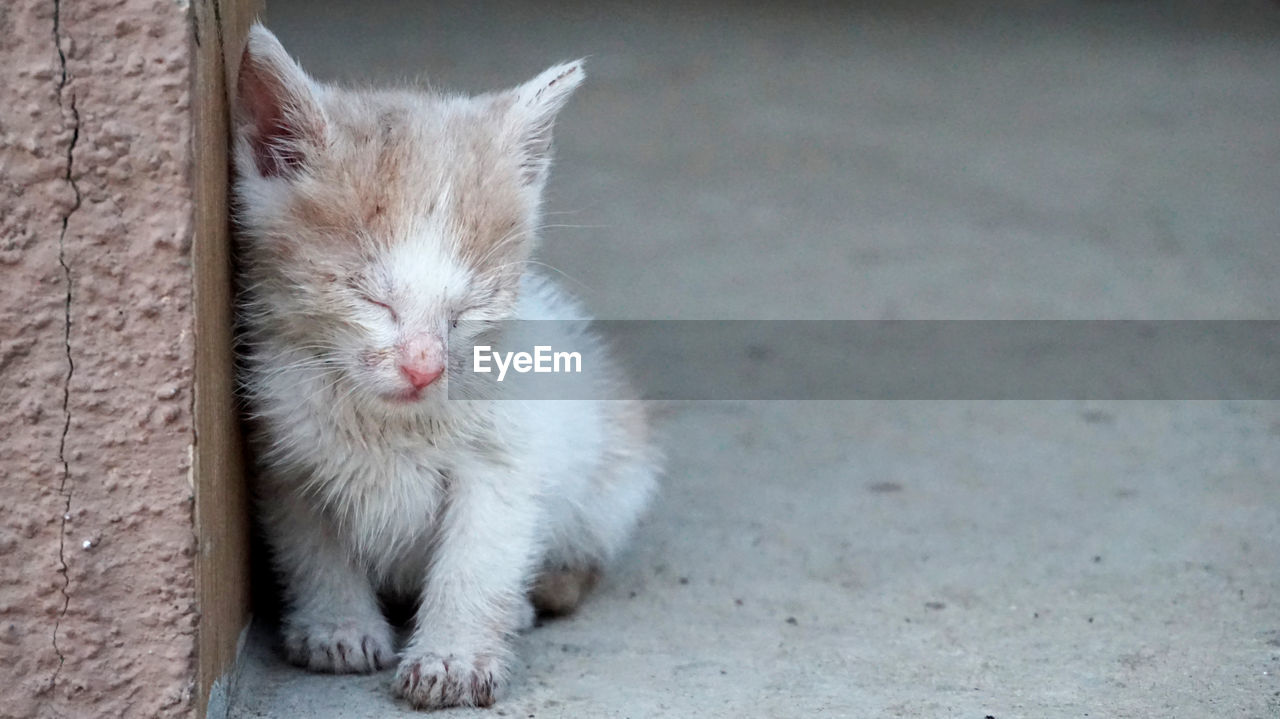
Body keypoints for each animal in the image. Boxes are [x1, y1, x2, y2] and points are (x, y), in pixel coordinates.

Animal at [232, 25, 660, 706]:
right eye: (369, 298)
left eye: (472, 305)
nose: (424, 368)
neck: (386, 421)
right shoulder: (283, 454)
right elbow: (312, 546)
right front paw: (338, 627)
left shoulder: (506, 458)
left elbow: (478, 560)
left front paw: (453, 658)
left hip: (615, 475)